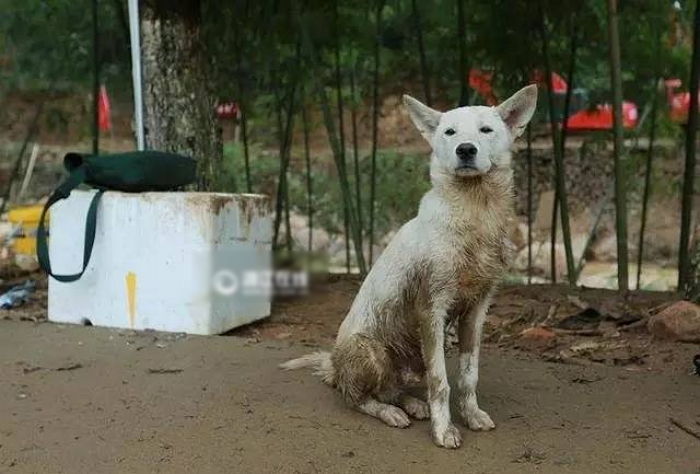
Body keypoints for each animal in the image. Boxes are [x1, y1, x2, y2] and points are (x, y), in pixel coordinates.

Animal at [282, 84, 540, 448]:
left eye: (486, 130)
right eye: (450, 132)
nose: (465, 150)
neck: (474, 214)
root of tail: (334, 366)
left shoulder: (476, 310)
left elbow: (468, 376)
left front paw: (471, 415)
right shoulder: (431, 309)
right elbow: (440, 381)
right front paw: (443, 430)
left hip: (411, 359)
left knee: (391, 389)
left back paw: (412, 404)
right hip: (372, 352)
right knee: (358, 398)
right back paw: (390, 412)